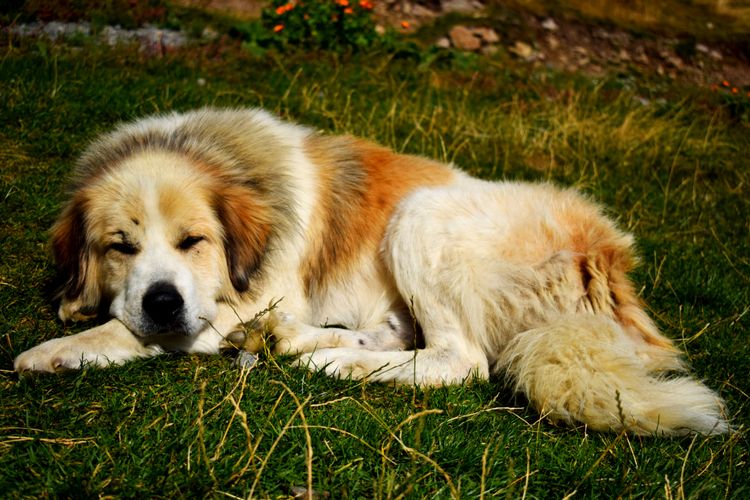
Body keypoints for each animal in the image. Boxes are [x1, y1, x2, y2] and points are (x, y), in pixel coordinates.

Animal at [13, 108, 728, 434]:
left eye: (194, 241)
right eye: (120, 247)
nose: (162, 300)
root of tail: (605, 260)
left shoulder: (245, 297)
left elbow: (131, 329)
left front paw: (57, 350)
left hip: (418, 215)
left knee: (460, 360)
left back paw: (332, 360)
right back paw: (308, 342)